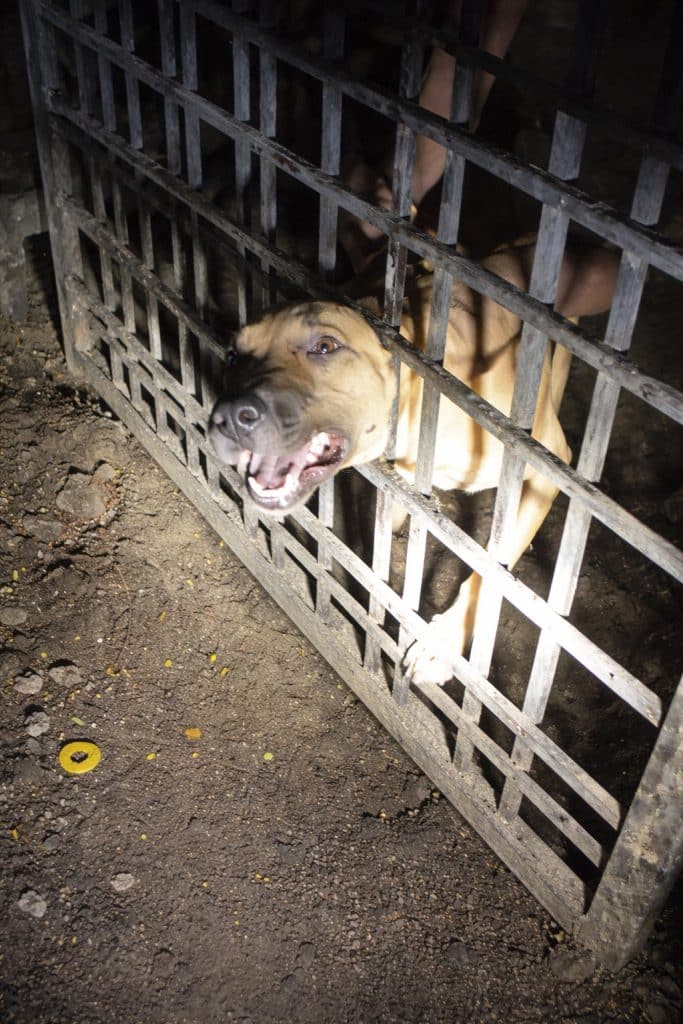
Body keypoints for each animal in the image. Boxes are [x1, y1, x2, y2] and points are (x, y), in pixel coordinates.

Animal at [208, 238, 618, 686]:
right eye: (232, 356)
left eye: (325, 346)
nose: (229, 416)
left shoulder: (544, 471)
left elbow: (491, 574)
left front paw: (444, 644)